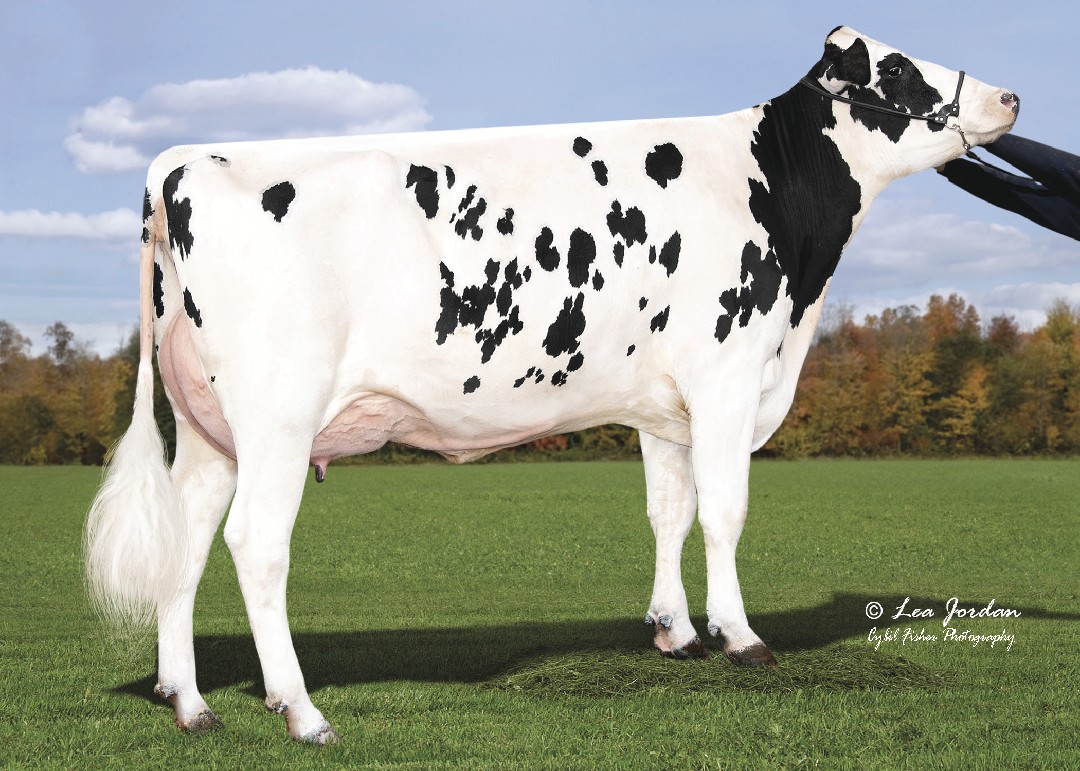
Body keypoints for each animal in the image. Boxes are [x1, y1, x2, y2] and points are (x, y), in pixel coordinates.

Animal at [85, 26, 1019, 743]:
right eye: (900, 70)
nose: (1009, 97)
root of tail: (180, 164)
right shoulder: (726, 375)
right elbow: (725, 511)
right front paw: (742, 636)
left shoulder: (665, 406)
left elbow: (669, 511)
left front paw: (676, 631)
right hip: (277, 416)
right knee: (256, 544)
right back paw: (301, 710)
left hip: (210, 429)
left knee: (187, 538)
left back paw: (190, 702)